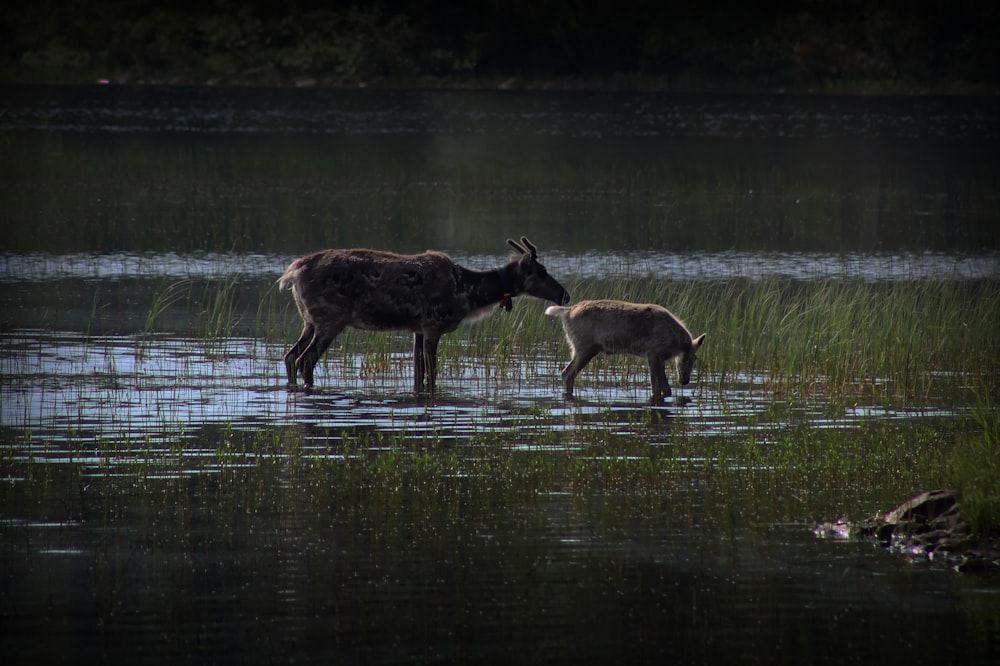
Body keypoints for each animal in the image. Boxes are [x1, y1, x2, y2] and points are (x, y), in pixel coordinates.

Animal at [280, 236, 572, 390]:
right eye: (541, 271)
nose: (564, 295)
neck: (468, 294)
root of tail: (292, 273)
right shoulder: (434, 325)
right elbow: (432, 371)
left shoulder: (417, 329)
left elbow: (418, 371)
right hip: (330, 319)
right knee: (306, 359)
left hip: (310, 321)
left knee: (290, 355)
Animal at [548, 298, 704, 402]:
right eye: (688, 358)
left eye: (695, 358)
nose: (685, 381)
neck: (675, 342)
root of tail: (566, 312)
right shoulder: (653, 354)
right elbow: (658, 389)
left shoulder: (659, 358)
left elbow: (666, 389)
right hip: (584, 347)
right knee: (567, 373)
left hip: (584, 348)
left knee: (566, 373)